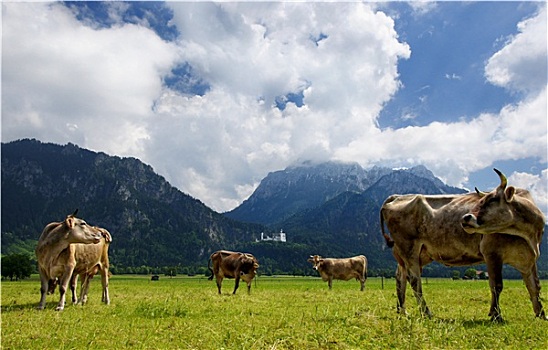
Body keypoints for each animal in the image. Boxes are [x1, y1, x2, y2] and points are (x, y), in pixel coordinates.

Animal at [378, 170, 544, 322]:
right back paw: (426, 312)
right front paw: (496, 316)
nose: (465, 217)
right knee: (414, 279)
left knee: (401, 277)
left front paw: (541, 314)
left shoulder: (530, 258)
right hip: (409, 248)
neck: (528, 235)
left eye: (492, 200)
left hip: (412, 253)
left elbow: (534, 285)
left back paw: (402, 311)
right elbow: (496, 285)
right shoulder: (492, 253)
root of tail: (397, 196)